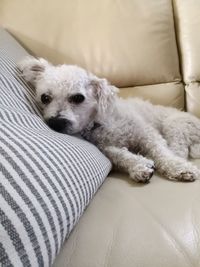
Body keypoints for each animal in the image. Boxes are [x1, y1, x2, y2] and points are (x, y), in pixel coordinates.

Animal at [18, 56, 200, 184]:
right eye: (45, 98)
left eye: (78, 98)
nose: (56, 123)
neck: (100, 123)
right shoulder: (105, 147)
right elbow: (119, 155)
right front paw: (138, 166)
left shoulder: (146, 133)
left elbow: (161, 151)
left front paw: (179, 168)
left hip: (174, 124)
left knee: (179, 149)